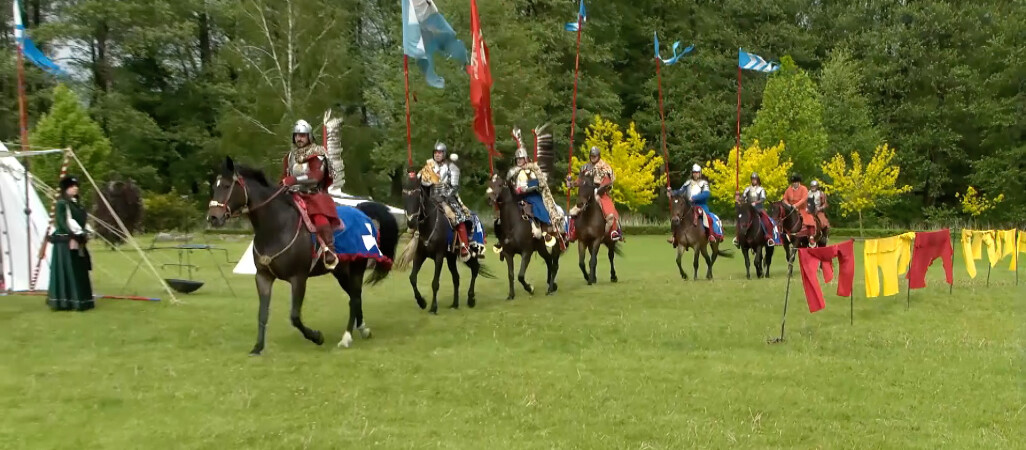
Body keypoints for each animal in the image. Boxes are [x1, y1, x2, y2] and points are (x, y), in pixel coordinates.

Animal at [206, 156, 398, 356]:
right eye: (215, 187)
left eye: (226, 186)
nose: (213, 218)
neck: (277, 226)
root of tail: (361, 212)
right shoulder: (263, 277)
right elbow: (263, 313)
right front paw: (258, 347)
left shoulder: (298, 278)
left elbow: (295, 316)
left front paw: (317, 337)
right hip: (340, 271)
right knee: (355, 296)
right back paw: (363, 329)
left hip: (356, 268)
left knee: (354, 298)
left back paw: (346, 338)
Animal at [396, 172, 492, 313]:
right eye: (404, 195)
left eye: (417, 194)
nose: (411, 223)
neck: (429, 225)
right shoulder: (420, 255)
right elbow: (412, 278)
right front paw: (421, 302)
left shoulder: (439, 256)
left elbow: (435, 283)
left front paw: (433, 307)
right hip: (451, 258)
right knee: (456, 278)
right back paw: (455, 304)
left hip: (472, 252)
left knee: (475, 269)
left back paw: (471, 299)